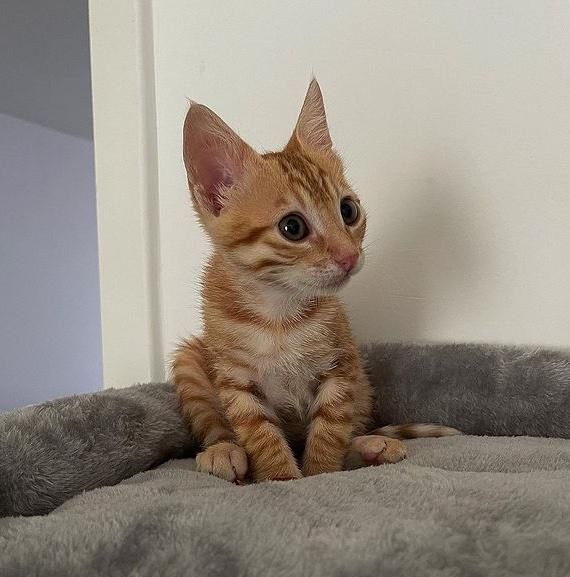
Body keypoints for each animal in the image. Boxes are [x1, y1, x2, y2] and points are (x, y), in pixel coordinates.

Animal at [170, 77, 458, 482]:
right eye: (293, 227)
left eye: (348, 210)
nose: (349, 256)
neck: (278, 312)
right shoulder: (237, 382)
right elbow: (261, 436)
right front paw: (282, 479)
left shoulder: (340, 367)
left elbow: (329, 432)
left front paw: (320, 475)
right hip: (190, 360)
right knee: (215, 425)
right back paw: (223, 452)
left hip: (361, 380)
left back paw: (372, 445)